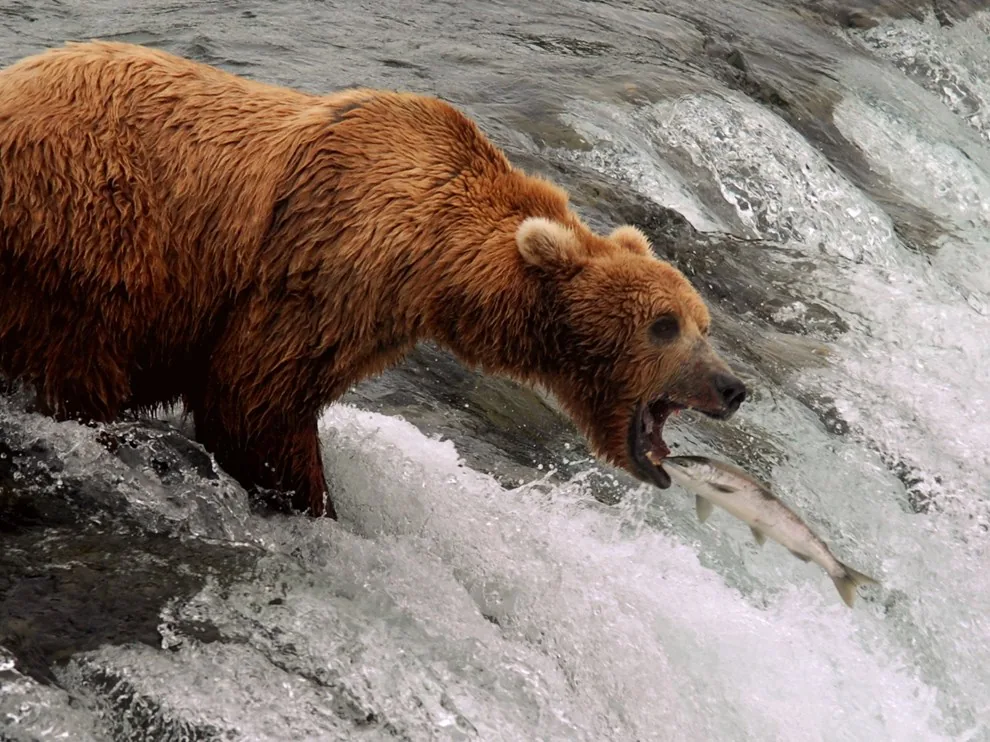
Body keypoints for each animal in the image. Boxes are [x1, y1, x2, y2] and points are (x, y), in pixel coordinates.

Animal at [0, 42, 747, 519]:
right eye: (664, 325)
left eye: (703, 322)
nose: (732, 387)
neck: (437, 261)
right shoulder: (323, 261)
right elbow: (251, 396)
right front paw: (314, 502)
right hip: (93, 218)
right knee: (86, 357)